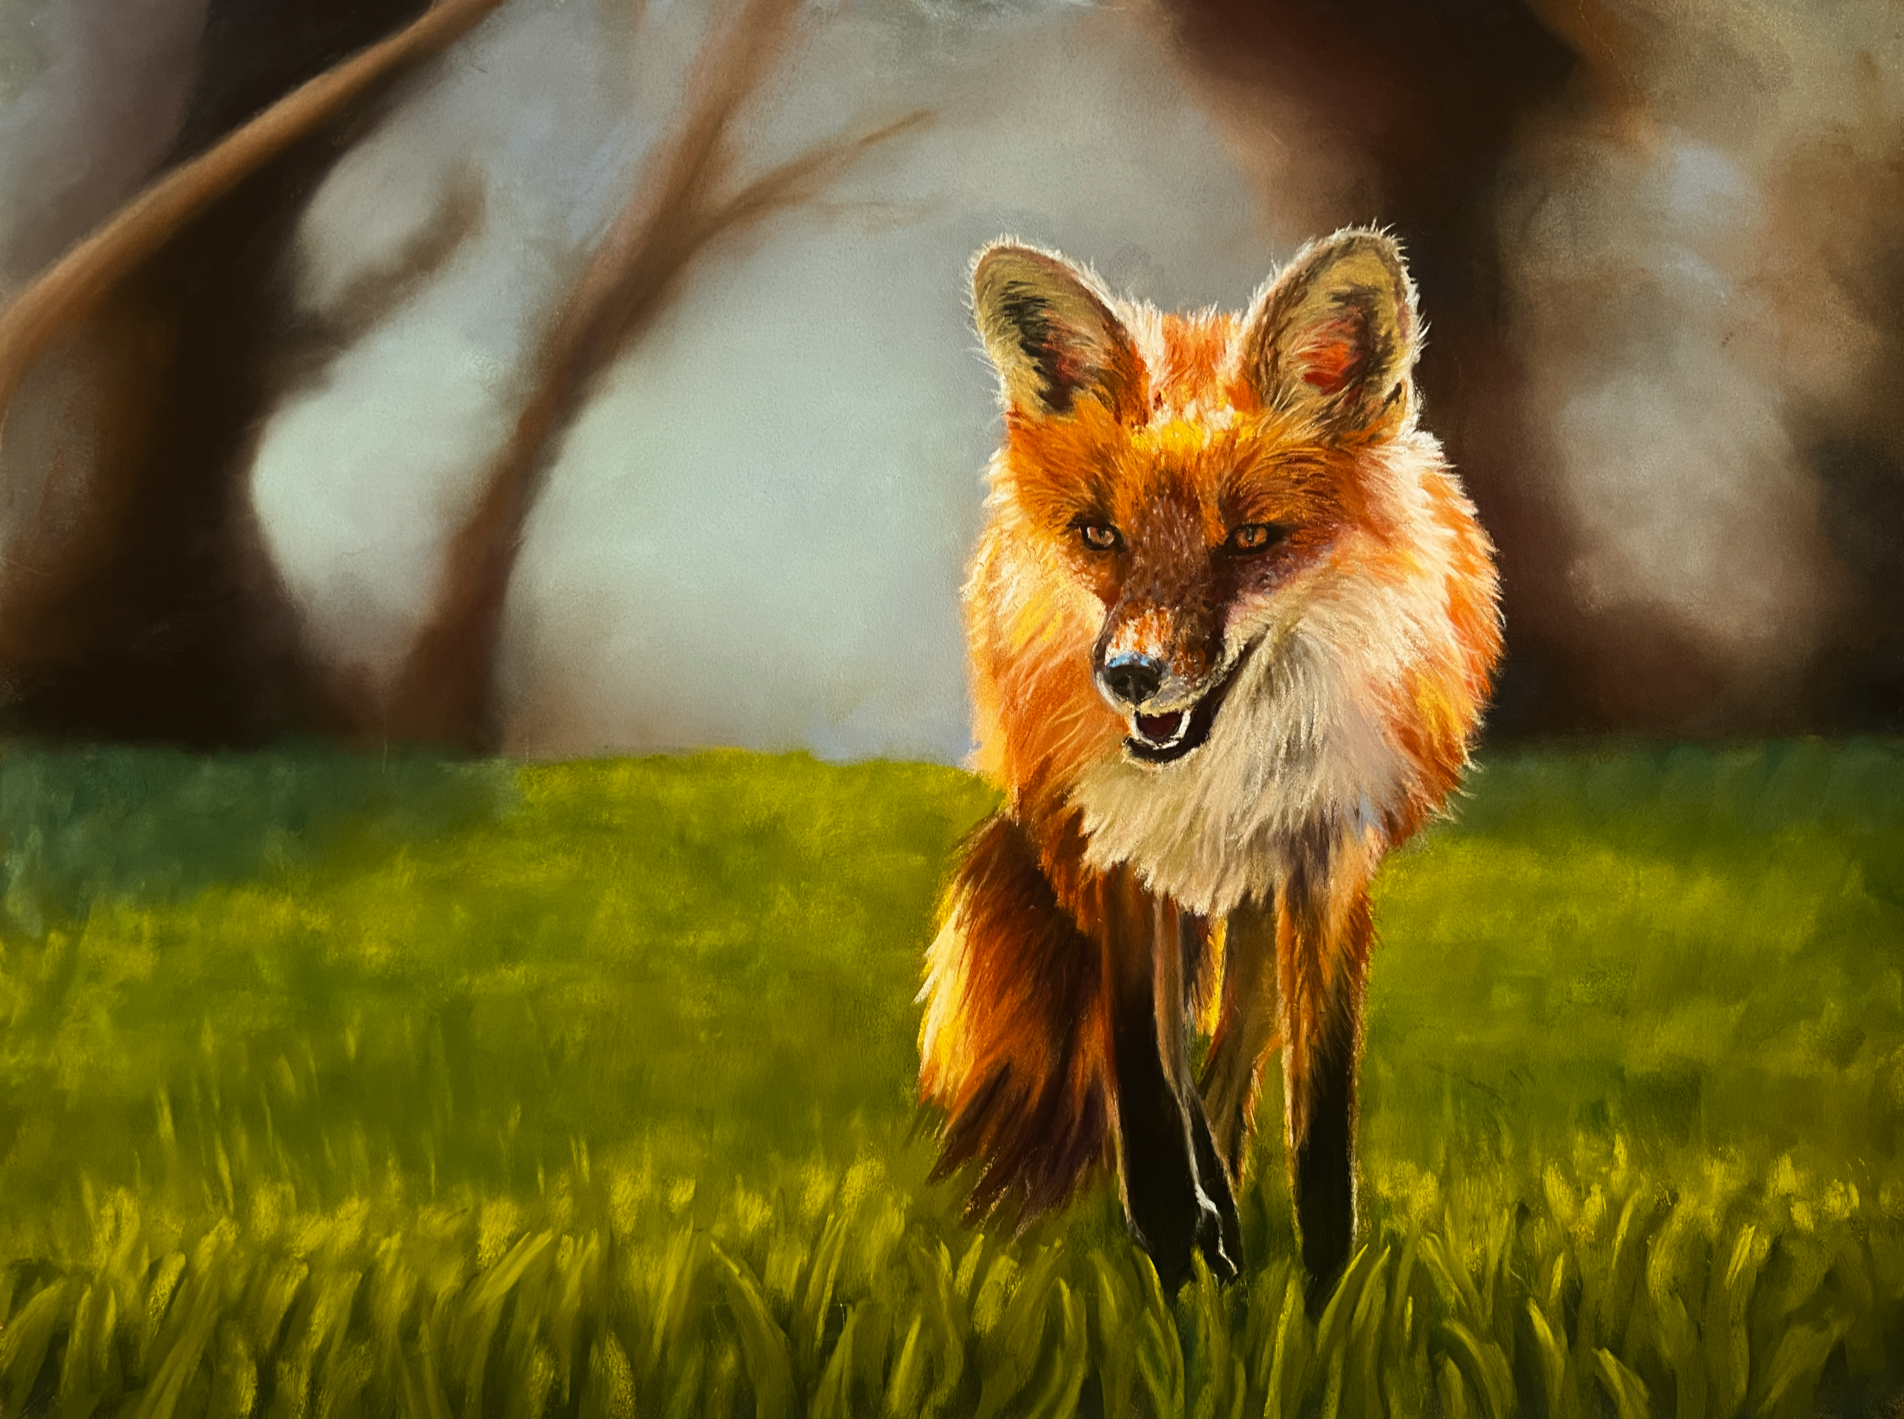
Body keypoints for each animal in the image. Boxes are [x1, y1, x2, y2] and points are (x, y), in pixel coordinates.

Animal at [917, 229, 1501, 1302]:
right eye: (1100, 534)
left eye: (1251, 540)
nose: (1130, 674)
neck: (1216, 774)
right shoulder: (1116, 858)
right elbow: (1148, 1088)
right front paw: (1177, 1274)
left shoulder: (1325, 869)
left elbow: (1317, 1127)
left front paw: (1323, 1299)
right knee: (1176, 1047)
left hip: (1261, 906)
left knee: (1234, 1046)